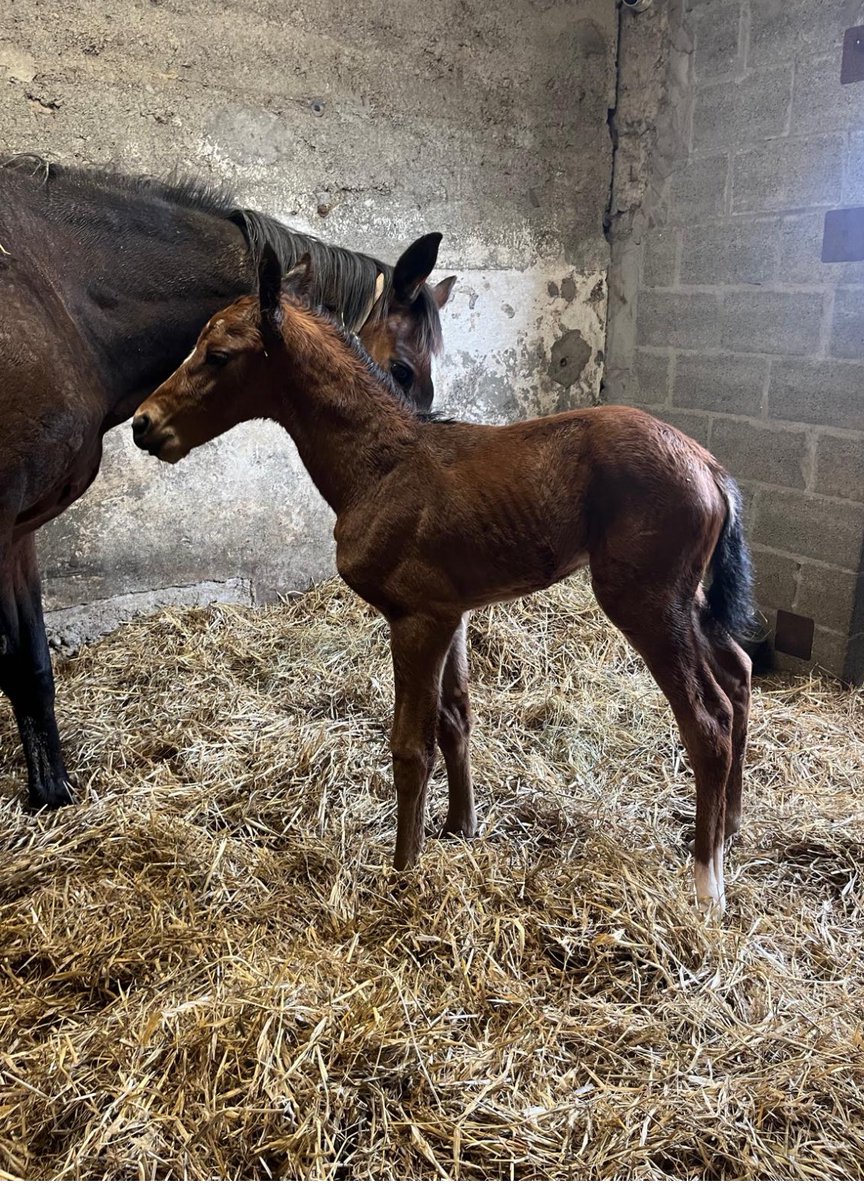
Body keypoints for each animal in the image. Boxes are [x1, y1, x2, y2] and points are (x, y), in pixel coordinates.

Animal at [131, 248, 754, 916]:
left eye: (218, 355)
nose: (144, 424)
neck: (383, 464)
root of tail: (709, 466)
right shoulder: (452, 613)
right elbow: (456, 717)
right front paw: (460, 828)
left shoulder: (415, 619)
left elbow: (411, 745)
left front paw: (403, 872)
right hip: (689, 599)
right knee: (739, 672)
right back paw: (732, 827)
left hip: (645, 601)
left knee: (708, 721)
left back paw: (707, 884)